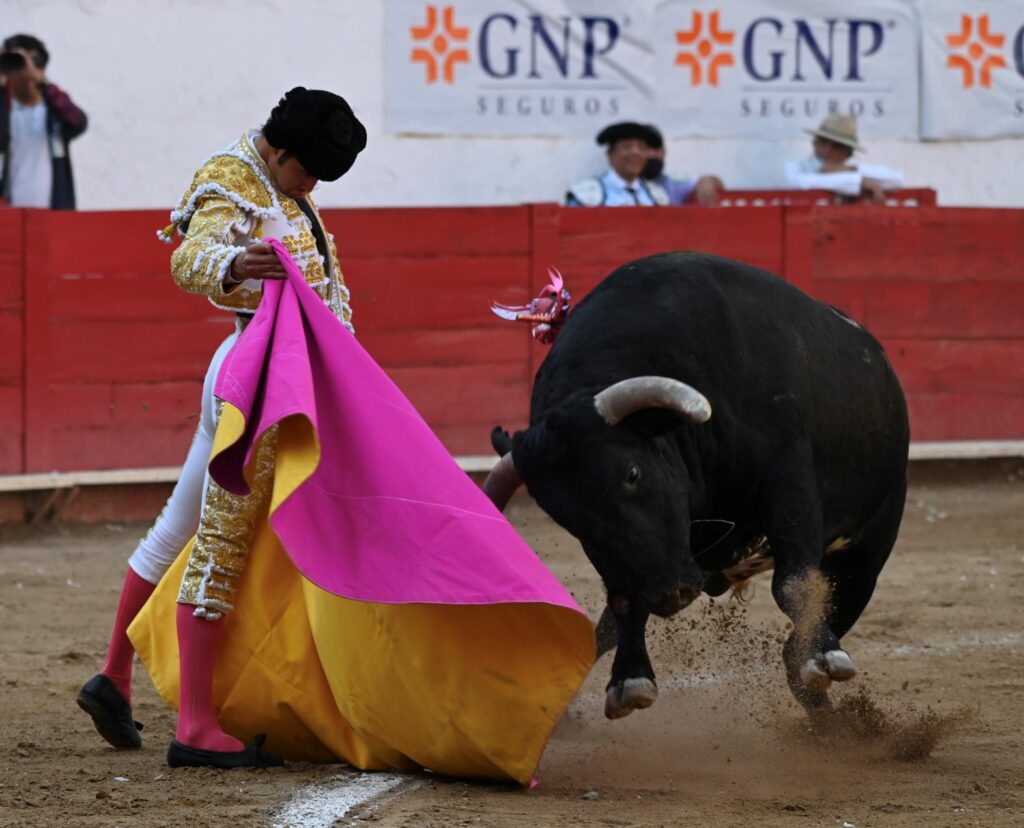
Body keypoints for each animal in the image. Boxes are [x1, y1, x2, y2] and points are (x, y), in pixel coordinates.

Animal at [483, 252, 909, 719]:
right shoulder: (631, 560)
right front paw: (629, 679)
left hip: (868, 552)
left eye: (632, 474)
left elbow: (794, 583)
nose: (669, 595)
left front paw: (823, 655)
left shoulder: (787, 476)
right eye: (565, 518)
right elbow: (624, 603)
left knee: (806, 629)